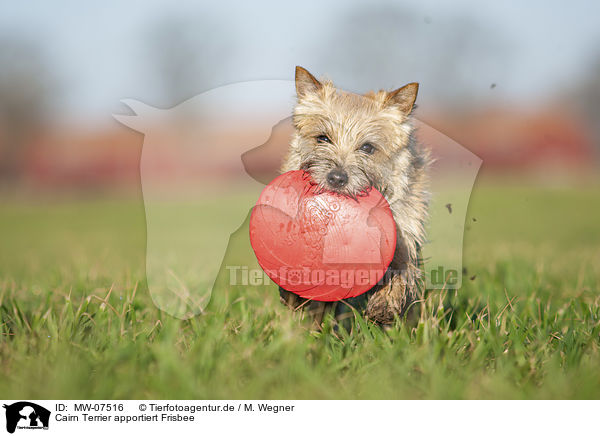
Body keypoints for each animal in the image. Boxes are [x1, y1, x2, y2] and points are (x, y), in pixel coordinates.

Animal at [278, 66, 428, 326]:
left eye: (367, 147)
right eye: (323, 138)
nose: (337, 178)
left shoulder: (403, 231)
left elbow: (400, 266)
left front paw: (384, 304)